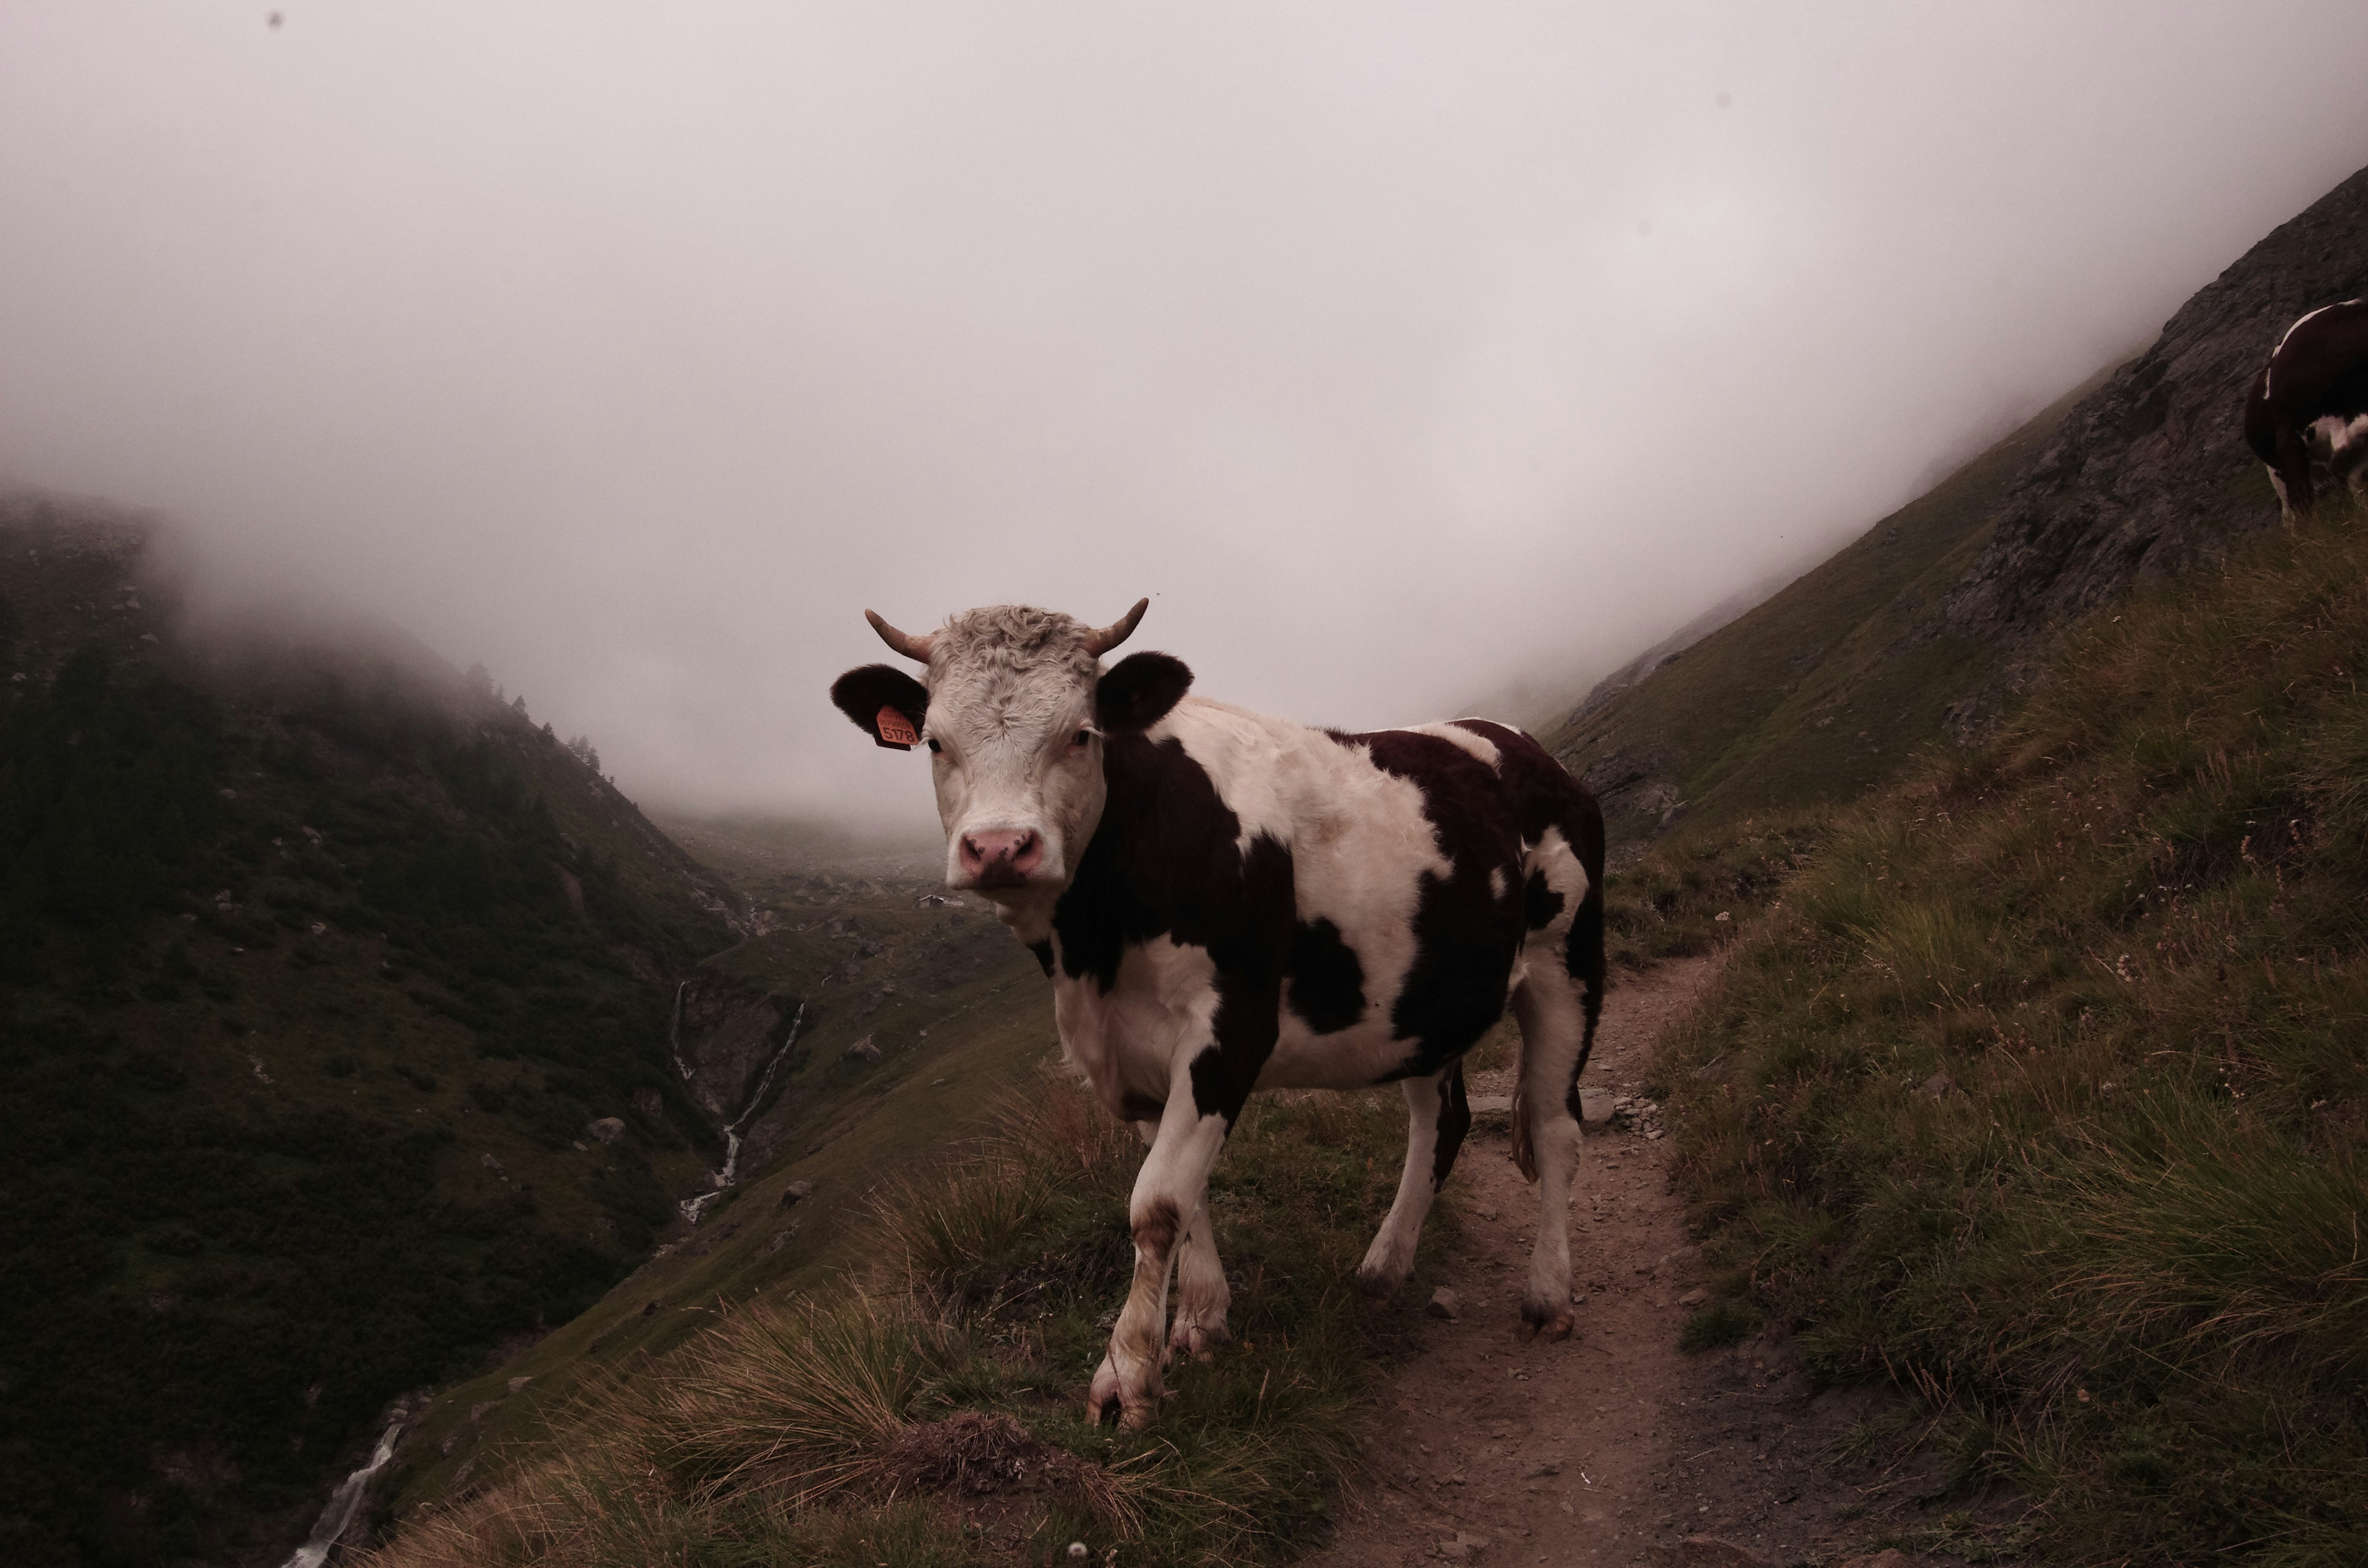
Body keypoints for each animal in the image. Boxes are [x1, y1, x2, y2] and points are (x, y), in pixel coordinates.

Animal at [830, 600, 1606, 1429]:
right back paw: (1384, 1269)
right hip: (1426, 1006)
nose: (1001, 848)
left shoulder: (1230, 1030)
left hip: (1566, 965)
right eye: (936, 741)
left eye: (1081, 734)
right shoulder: (1132, 1057)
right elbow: (1186, 1192)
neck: (1091, 952)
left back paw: (1547, 1296)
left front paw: (1126, 1379)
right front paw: (1201, 1321)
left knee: (1556, 1129)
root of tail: (1524, 747)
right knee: (1442, 1122)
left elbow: (1157, 1202)